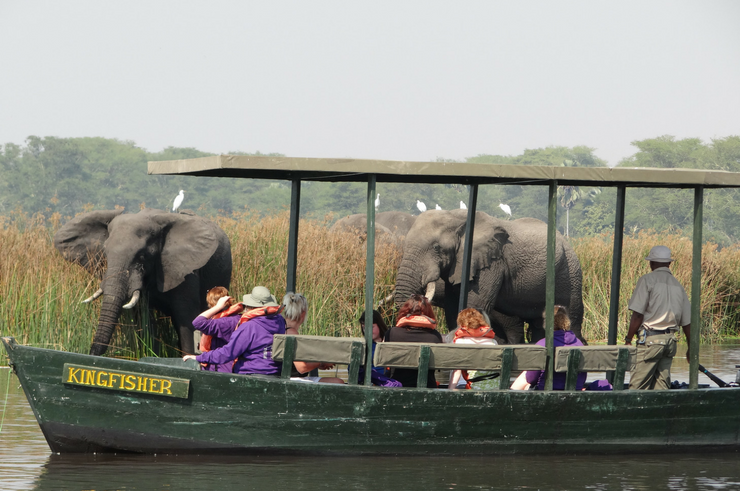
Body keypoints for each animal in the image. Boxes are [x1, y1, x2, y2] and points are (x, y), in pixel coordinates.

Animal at [54, 209, 231, 356]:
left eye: (142, 256)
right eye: (105, 254)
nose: (91, 353)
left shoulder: (186, 271)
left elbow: (186, 319)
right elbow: (145, 320)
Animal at [394, 209, 584, 344]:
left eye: (436, 248)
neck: (456, 217)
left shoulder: (490, 264)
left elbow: (474, 304)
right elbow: (453, 307)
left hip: (569, 273)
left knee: (571, 319)